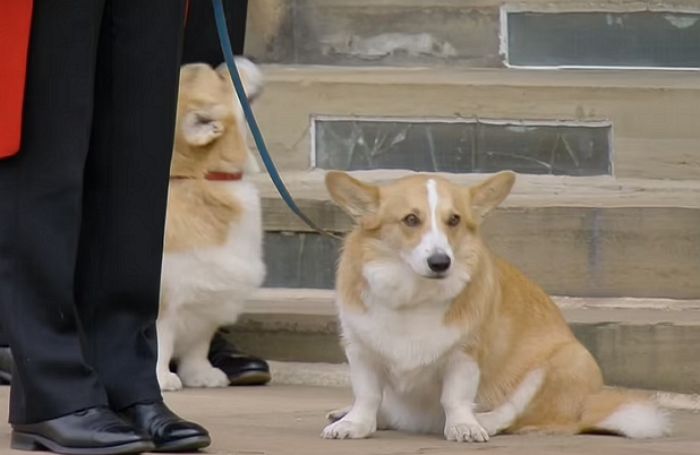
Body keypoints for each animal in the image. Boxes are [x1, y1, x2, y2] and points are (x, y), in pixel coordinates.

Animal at [157, 58, 266, 392]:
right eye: (221, 77)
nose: (241, 60)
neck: (201, 177)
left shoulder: (206, 301)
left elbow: (197, 347)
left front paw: (201, 375)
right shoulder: (164, 300)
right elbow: (161, 341)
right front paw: (162, 378)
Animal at [322, 172, 668, 442]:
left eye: (454, 220)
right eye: (411, 220)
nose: (441, 262)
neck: (415, 295)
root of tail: (587, 407)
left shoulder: (465, 354)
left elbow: (455, 397)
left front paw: (463, 426)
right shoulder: (361, 351)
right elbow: (367, 394)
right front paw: (355, 423)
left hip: (565, 360)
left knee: (514, 414)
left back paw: (483, 420)